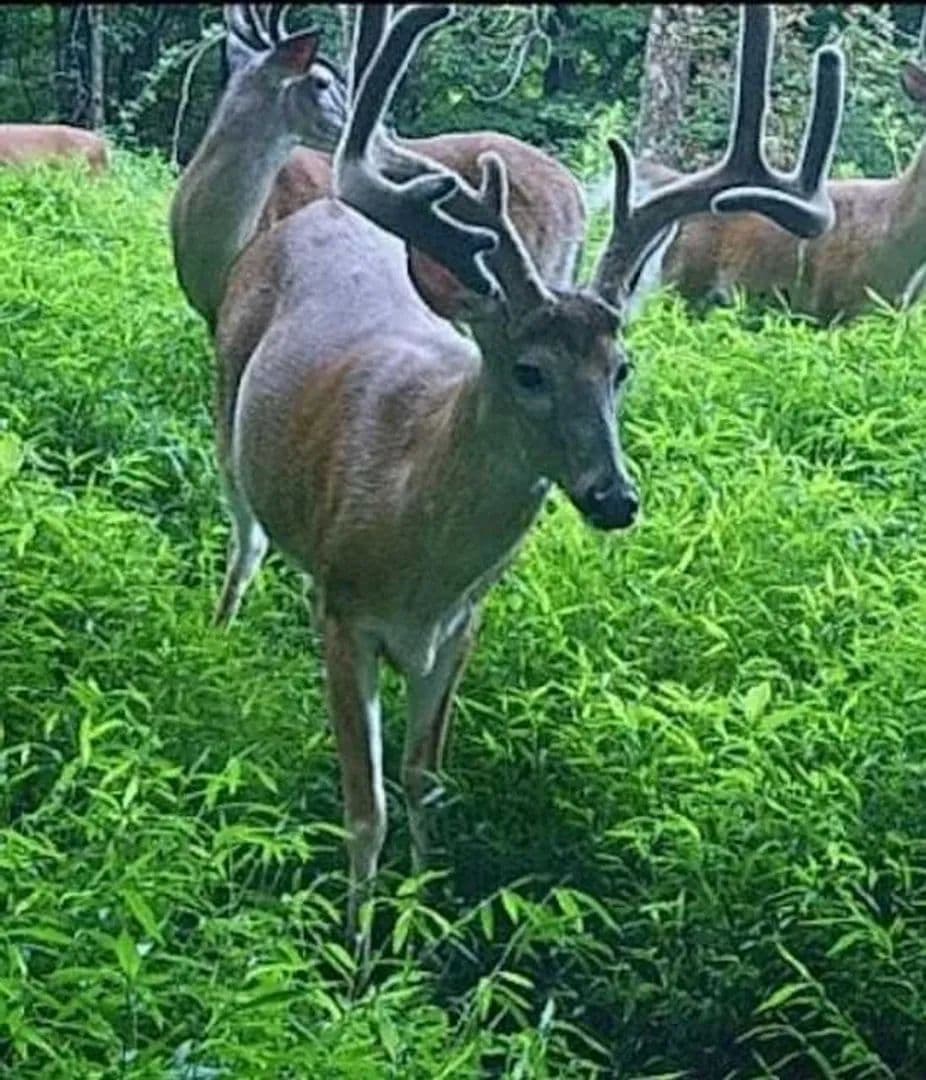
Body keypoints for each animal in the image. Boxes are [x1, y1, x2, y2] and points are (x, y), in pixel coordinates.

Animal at [211, 2, 843, 961]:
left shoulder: (464, 623)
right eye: (529, 369)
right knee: (243, 543)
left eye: (622, 367)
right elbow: (365, 809)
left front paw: (424, 933)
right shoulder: (346, 613)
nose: (616, 497)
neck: (414, 532)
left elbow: (424, 782)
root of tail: (308, 217)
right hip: (224, 410)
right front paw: (357, 961)